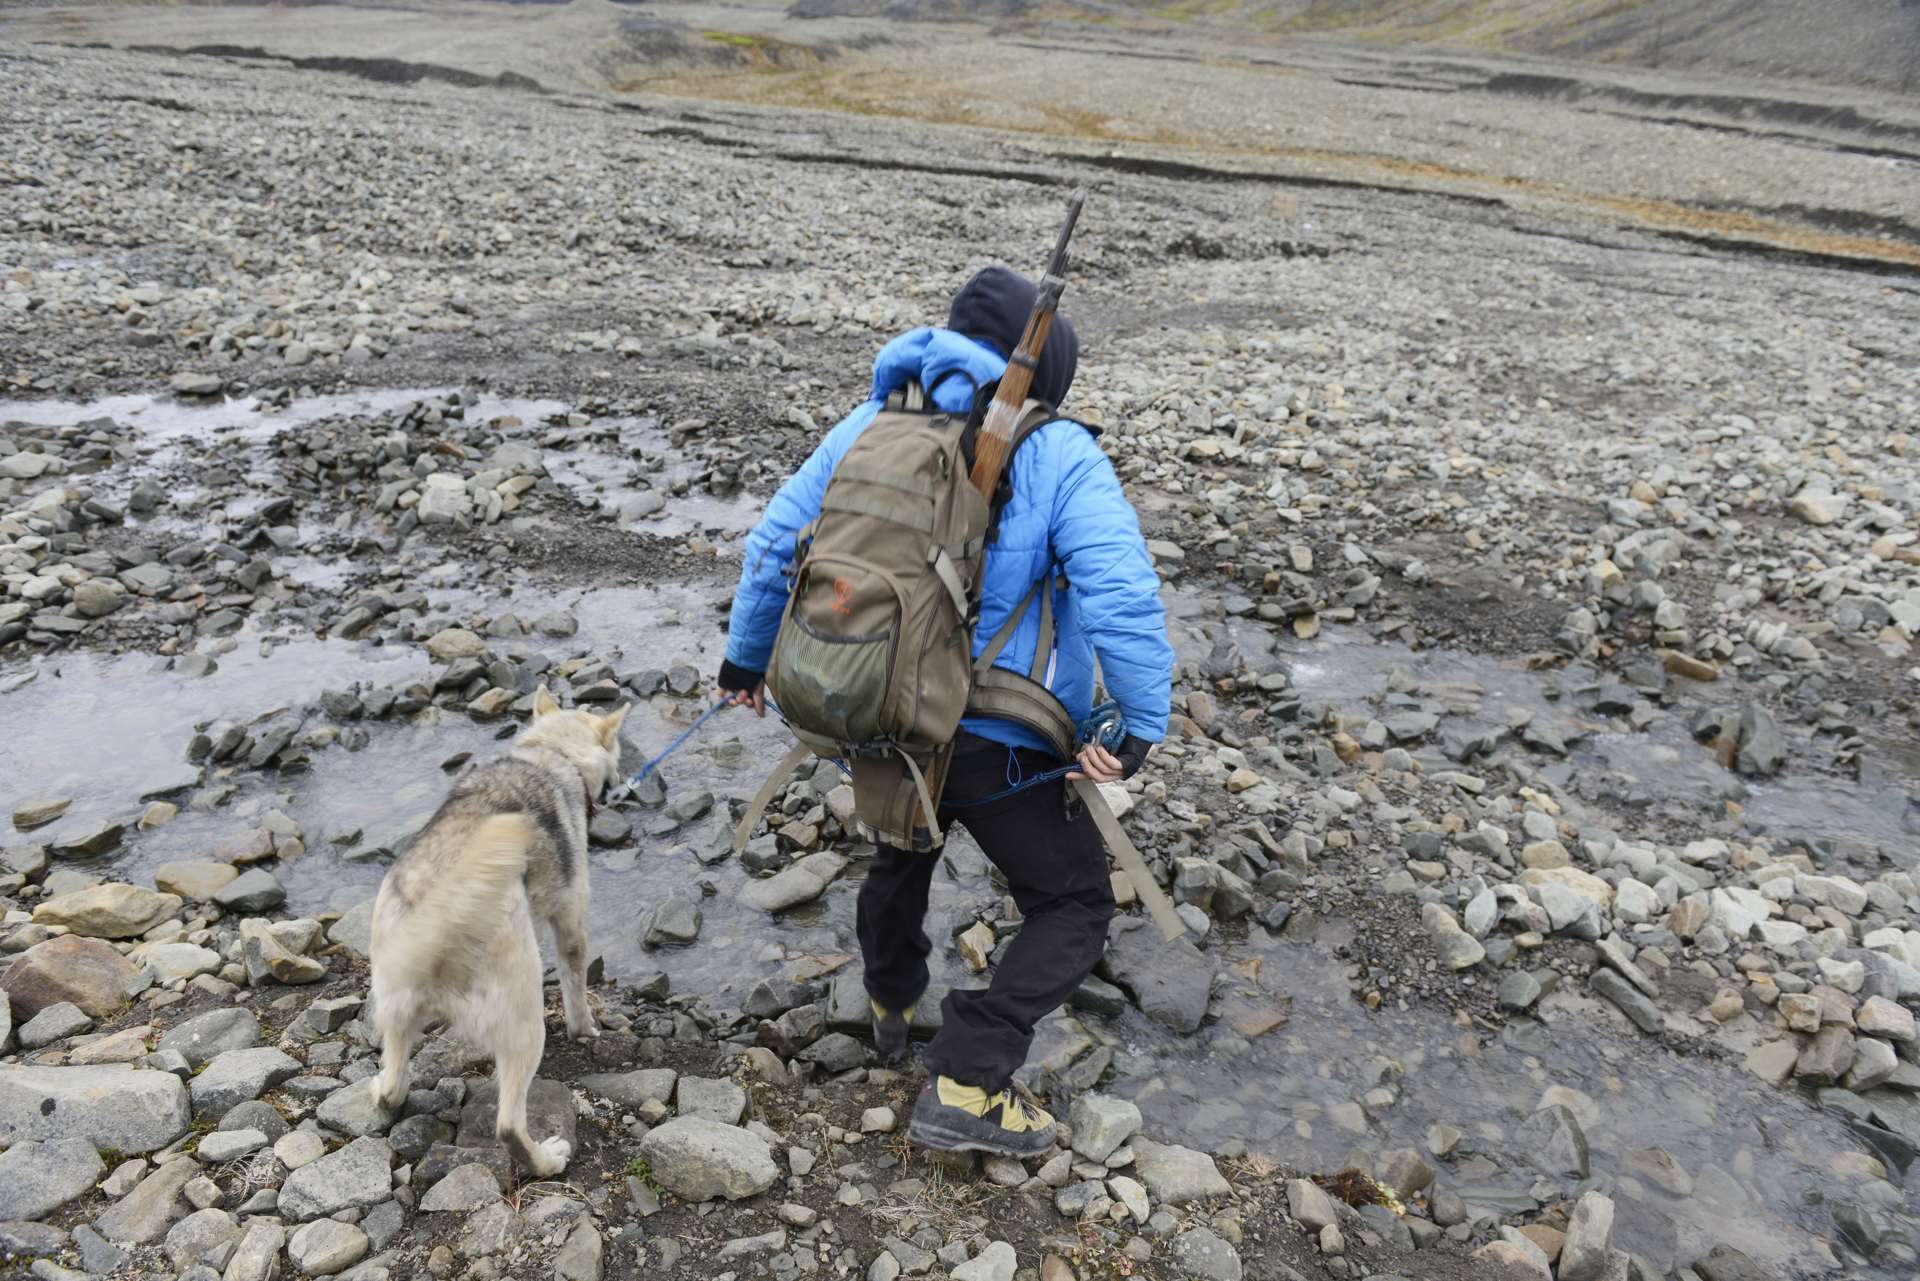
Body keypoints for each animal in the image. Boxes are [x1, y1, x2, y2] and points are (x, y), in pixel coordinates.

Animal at [362, 687, 625, 1175]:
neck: (551, 753)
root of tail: (438, 915)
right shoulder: (570, 922)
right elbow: (576, 988)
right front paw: (587, 1030)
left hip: (394, 1014)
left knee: (392, 1088)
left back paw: (381, 1090)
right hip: (525, 1021)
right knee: (508, 1126)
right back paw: (547, 1160)